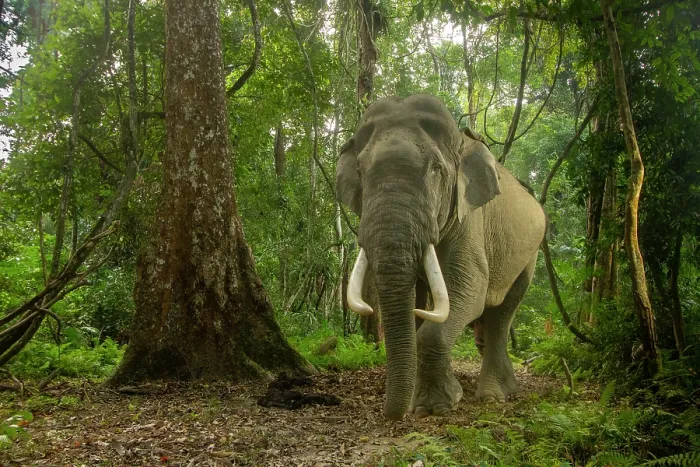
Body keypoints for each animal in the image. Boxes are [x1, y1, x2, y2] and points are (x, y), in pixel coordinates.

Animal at [335, 94, 547, 420]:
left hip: (530, 254)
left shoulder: (470, 218)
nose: (390, 414)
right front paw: (424, 400)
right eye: (359, 171)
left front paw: (433, 407)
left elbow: (469, 289)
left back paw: (494, 396)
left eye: (436, 169)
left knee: (503, 313)